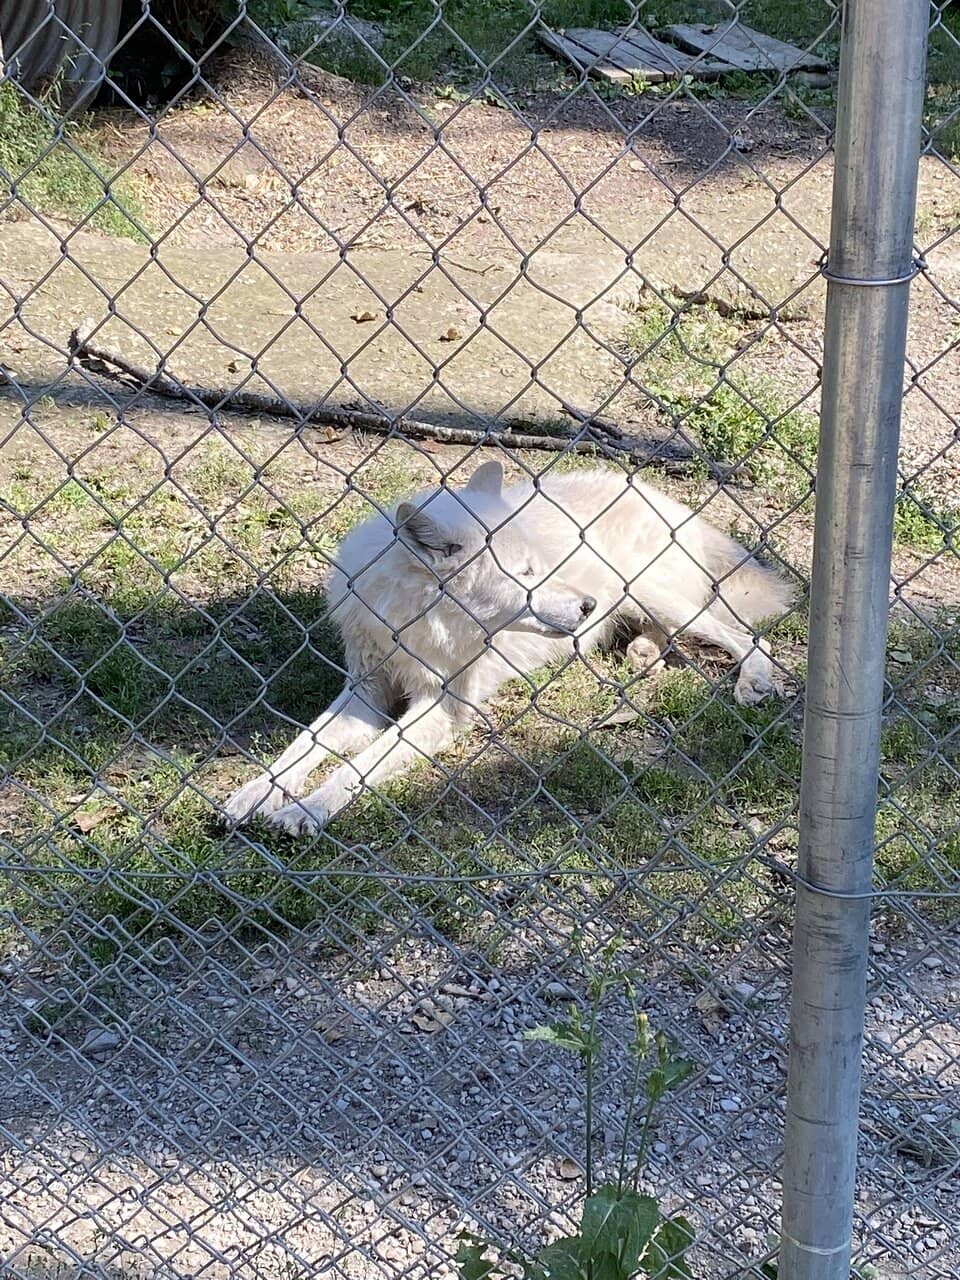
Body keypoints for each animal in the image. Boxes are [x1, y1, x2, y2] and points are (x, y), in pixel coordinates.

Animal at [223, 461, 792, 835]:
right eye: (525, 573)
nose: (587, 605)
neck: (416, 622)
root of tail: (667, 500)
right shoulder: (365, 693)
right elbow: (302, 745)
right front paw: (254, 794)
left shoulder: (442, 708)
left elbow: (356, 767)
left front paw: (303, 811)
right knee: (670, 633)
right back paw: (643, 655)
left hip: (649, 590)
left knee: (746, 634)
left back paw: (752, 682)